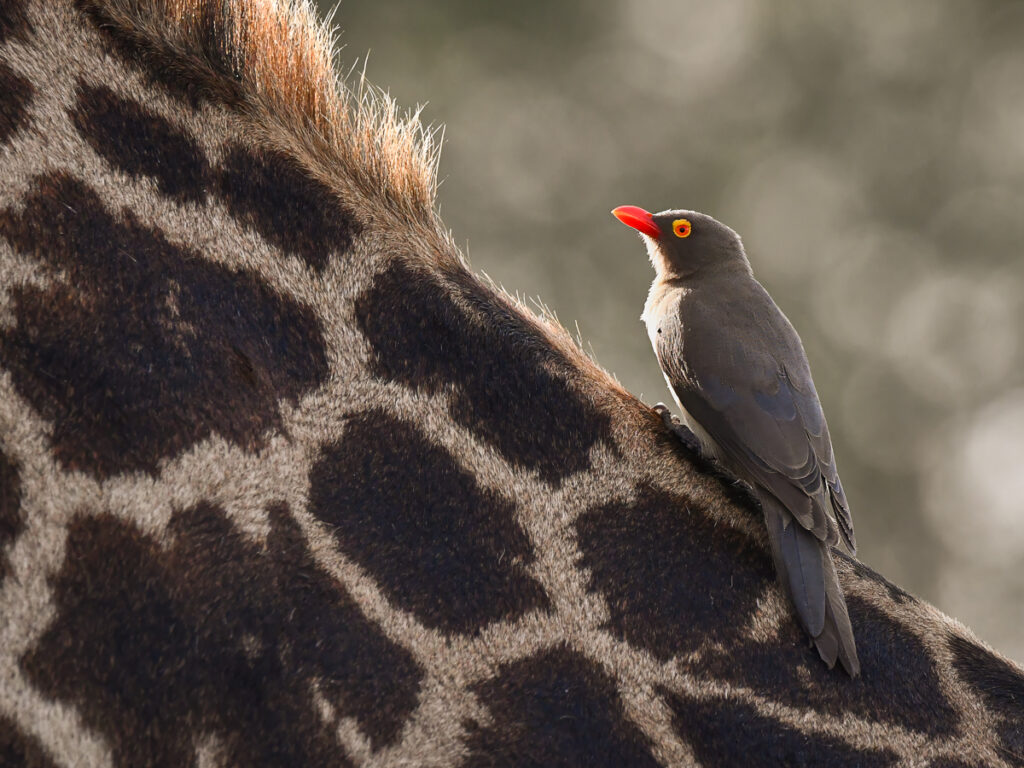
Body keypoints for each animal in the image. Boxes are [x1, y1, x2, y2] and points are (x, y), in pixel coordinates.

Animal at [0, 0, 1019, 765]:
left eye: (680, 227)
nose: (634, 210)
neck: (702, 282)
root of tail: (807, 502)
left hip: (784, 466)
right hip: (815, 455)